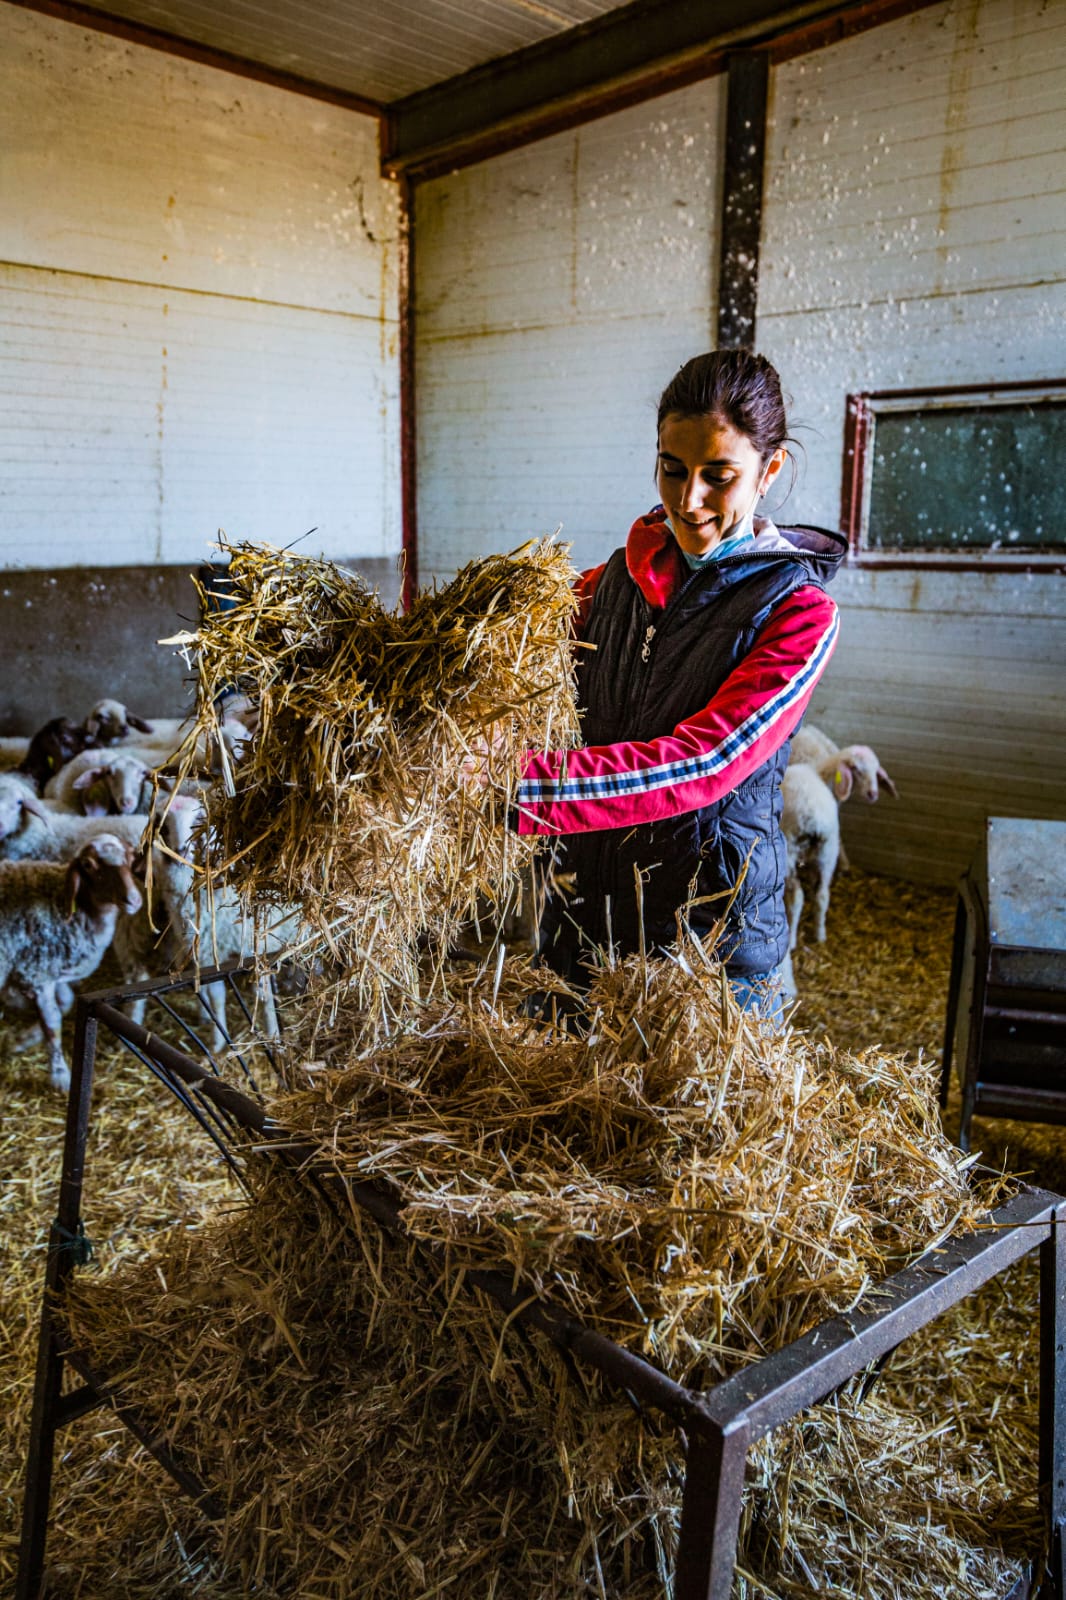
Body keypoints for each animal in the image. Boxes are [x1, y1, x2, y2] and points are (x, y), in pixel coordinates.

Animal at [0, 838, 142, 1088]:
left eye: (130, 857)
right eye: (88, 865)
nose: (133, 900)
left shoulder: (50, 973)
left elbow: (65, 1002)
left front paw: (23, 1039)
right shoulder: (36, 972)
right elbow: (53, 1022)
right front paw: (60, 1075)